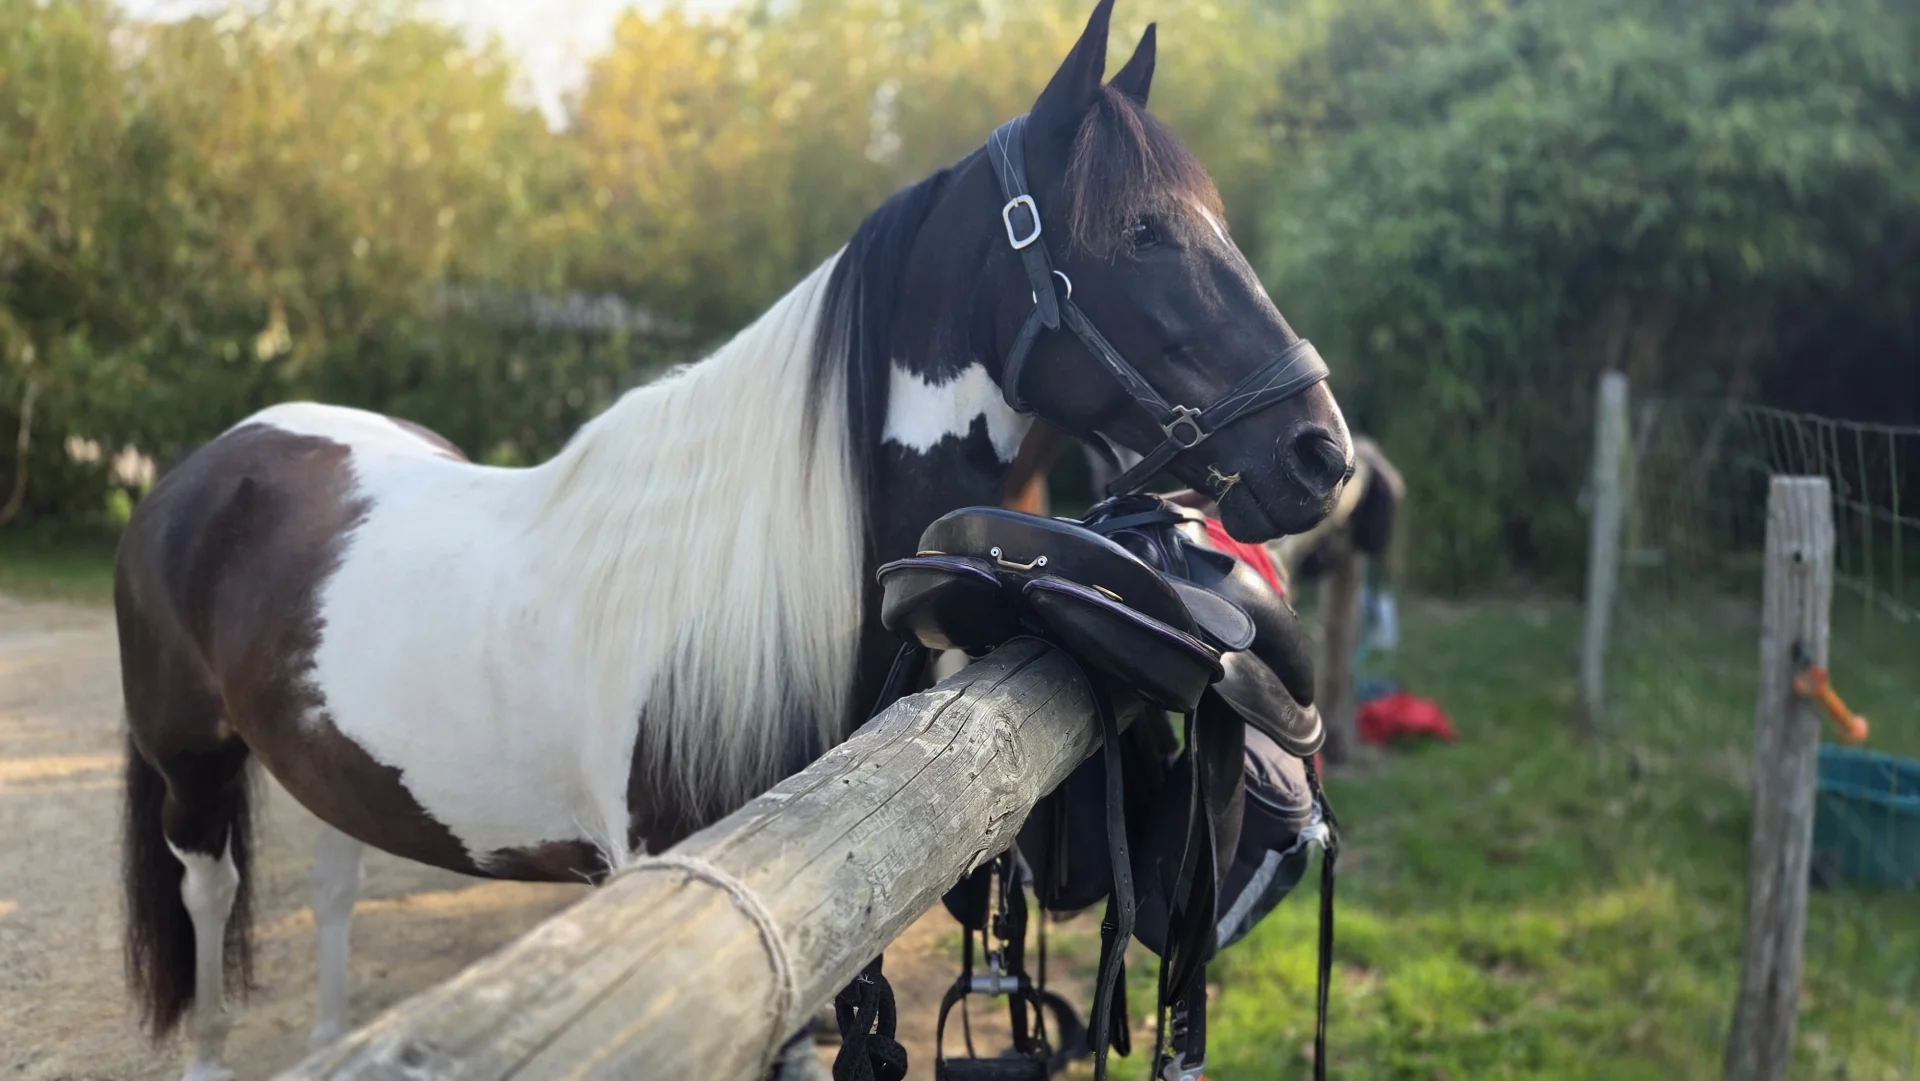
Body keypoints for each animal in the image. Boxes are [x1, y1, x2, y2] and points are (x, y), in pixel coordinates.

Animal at [113, 5, 1352, 1078]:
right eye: (1141, 232)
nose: (1321, 453)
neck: (740, 594)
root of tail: (208, 463)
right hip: (190, 770)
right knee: (208, 897)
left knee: (332, 884)